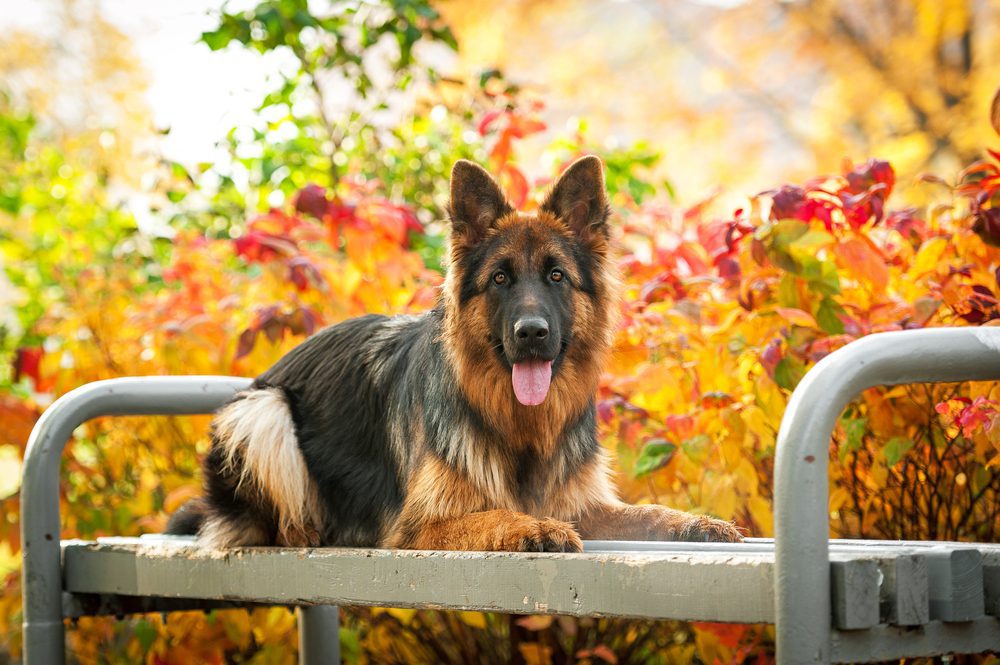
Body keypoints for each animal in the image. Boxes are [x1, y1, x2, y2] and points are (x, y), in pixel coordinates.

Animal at [168, 156, 740, 548]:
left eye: (556, 276)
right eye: (500, 279)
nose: (531, 333)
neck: (518, 426)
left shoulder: (583, 503)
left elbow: (648, 513)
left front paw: (698, 522)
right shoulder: (415, 527)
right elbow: (493, 514)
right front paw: (533, 526)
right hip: (262, 414)